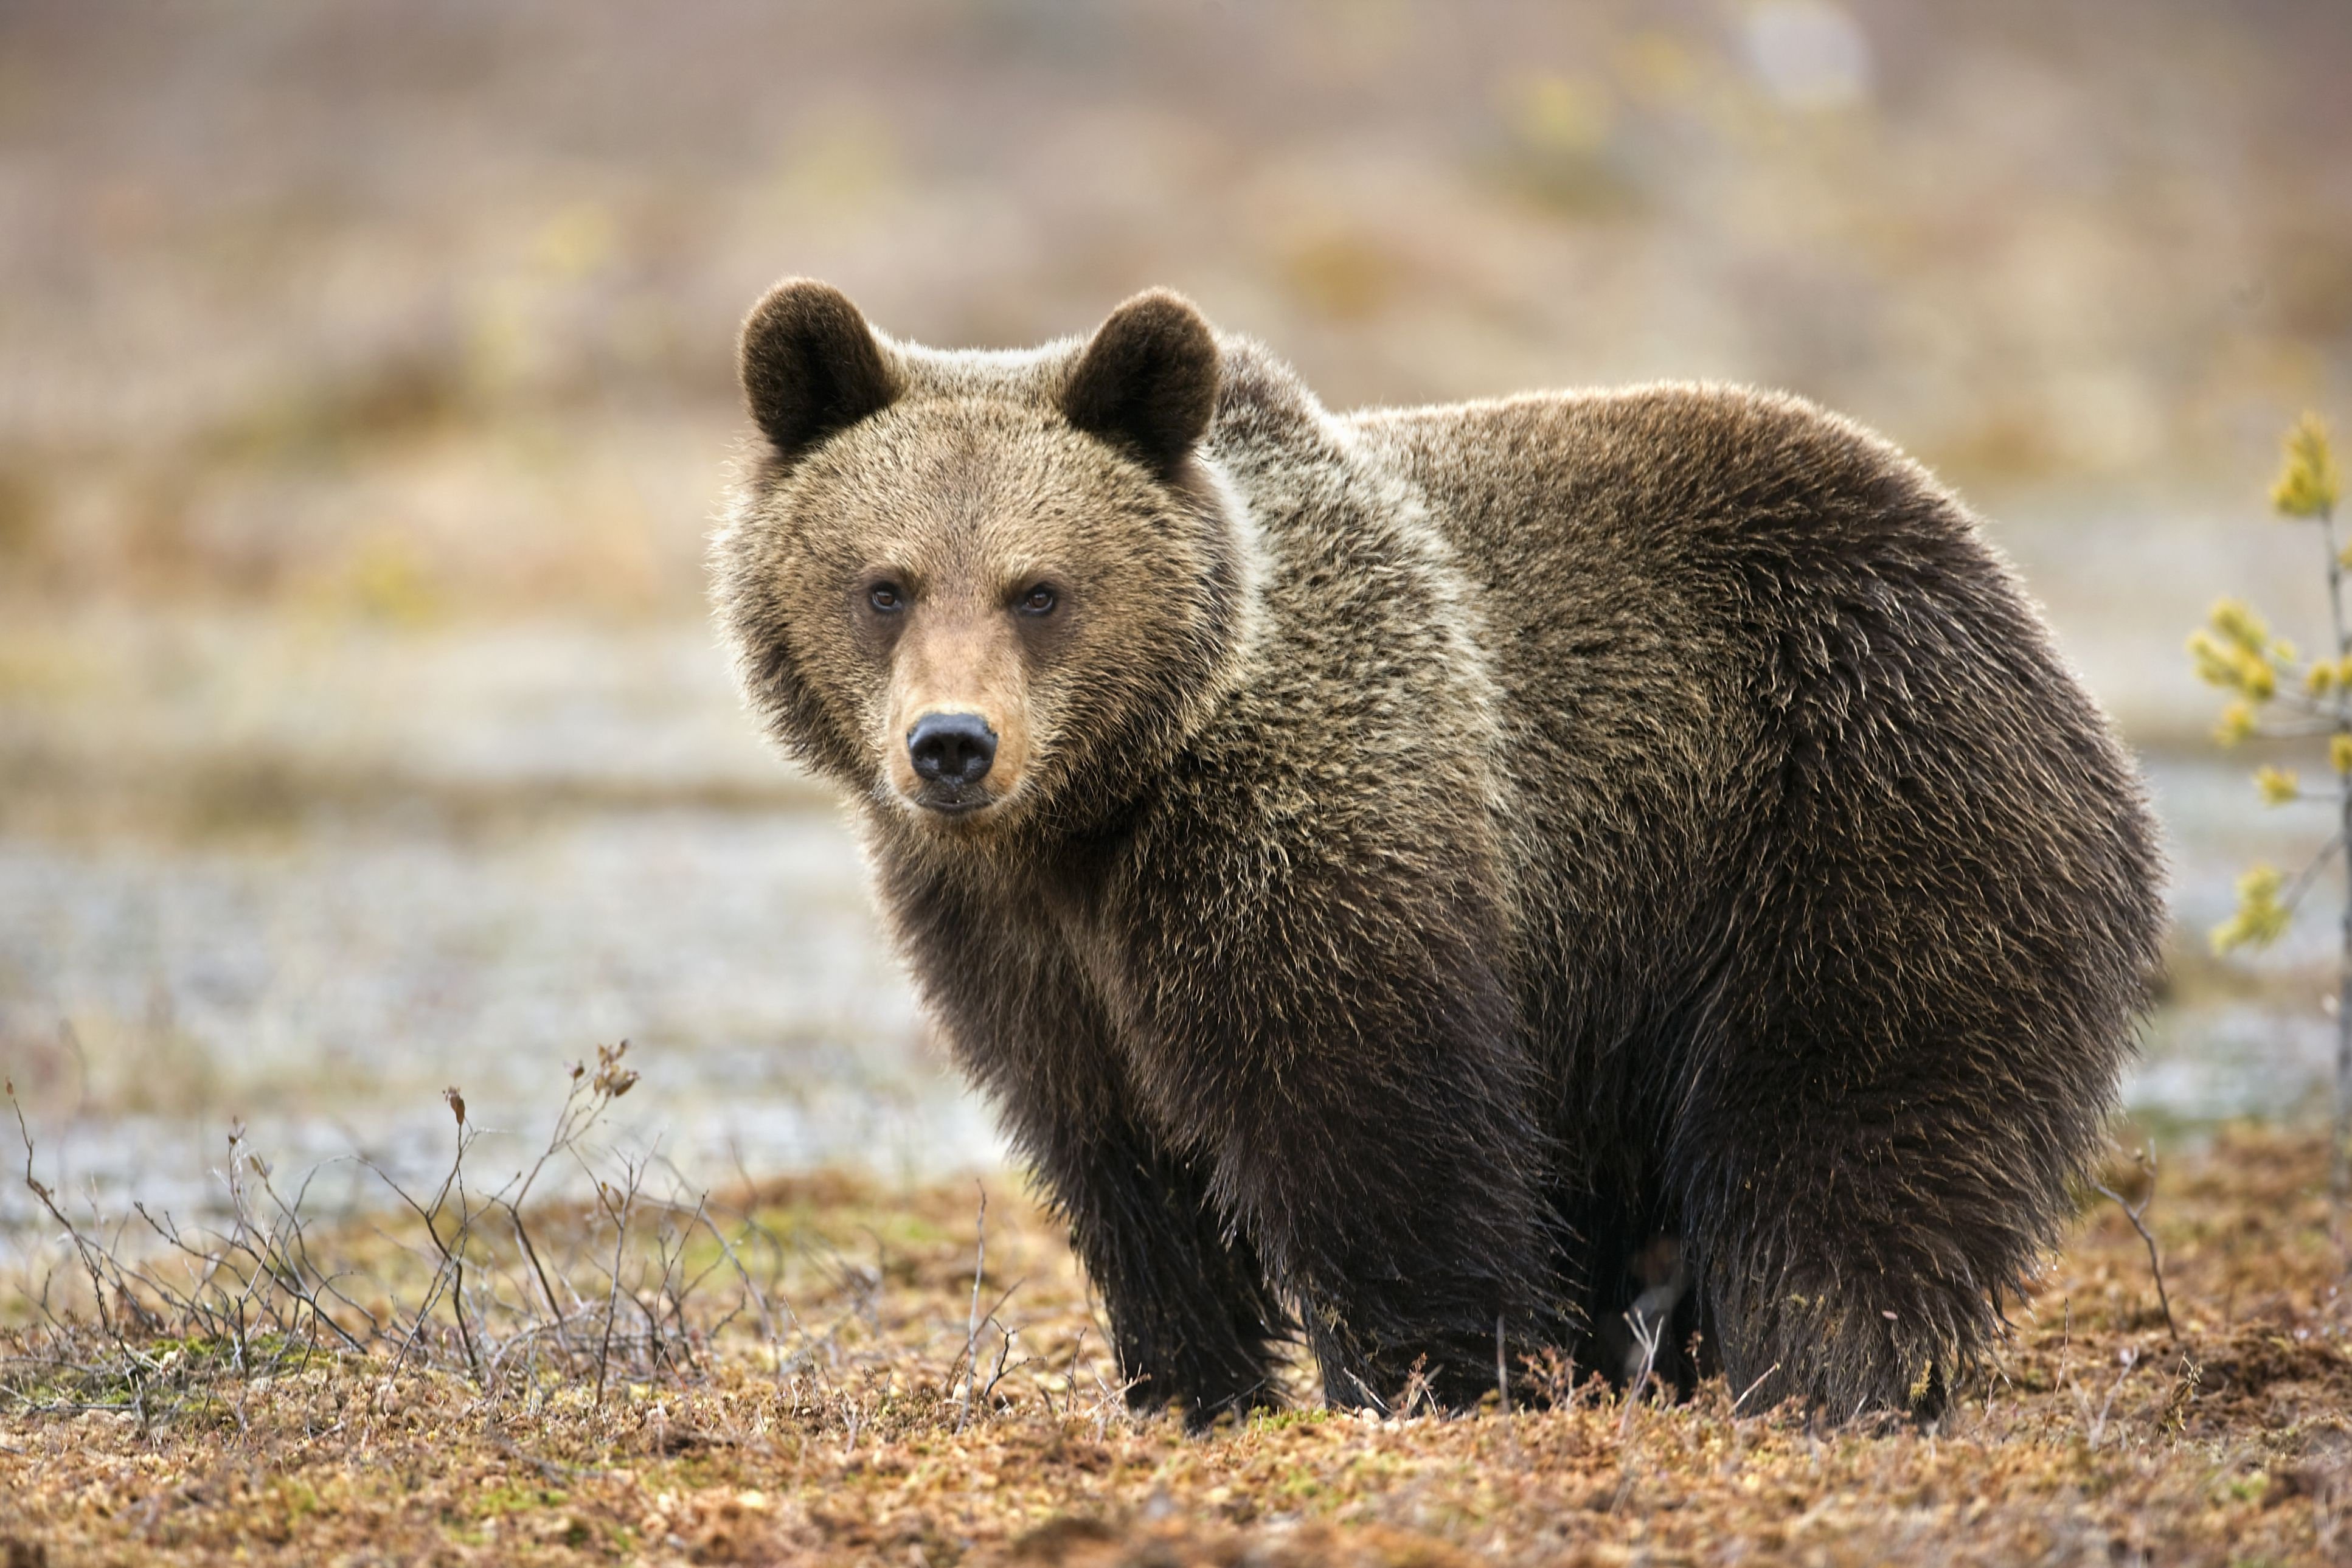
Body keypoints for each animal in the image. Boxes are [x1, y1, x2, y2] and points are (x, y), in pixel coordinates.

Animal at [710, 279, 2163, 1420]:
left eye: (1040, 590)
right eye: (884, 583)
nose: (951, 745)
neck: (1095, 813)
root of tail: (2000, 589)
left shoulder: (1312, 820)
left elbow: (1371, 1121)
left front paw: (1430, 1380)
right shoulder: (1014, 939)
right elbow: (1118, 1161)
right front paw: (1190, 1384)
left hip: (1854, 807)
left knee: (1851, 1129)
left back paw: (1817, 1374)